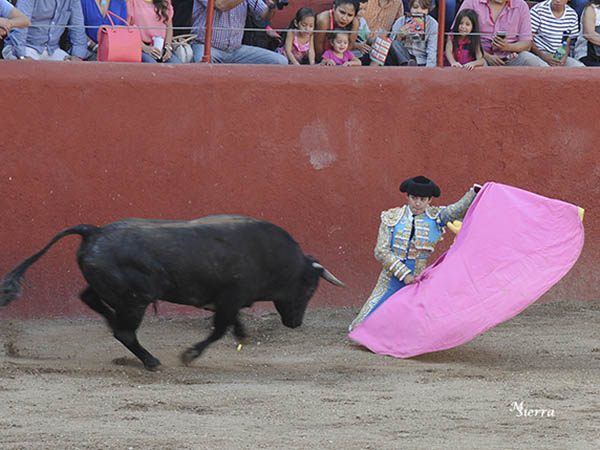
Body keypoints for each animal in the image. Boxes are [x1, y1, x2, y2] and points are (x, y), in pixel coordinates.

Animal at [0, 215, 342, 370]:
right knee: (125, 332)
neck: (273, 256)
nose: (295, 323)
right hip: (136, 299)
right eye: (310, 286)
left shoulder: (227, 300)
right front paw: (190, 354)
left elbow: (231, 323)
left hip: (115, 291)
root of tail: (93, 231)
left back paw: (114, 324)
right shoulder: (229, 298)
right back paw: (151, 360)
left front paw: (242, 335)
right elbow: (218, 329)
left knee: (90, 299)